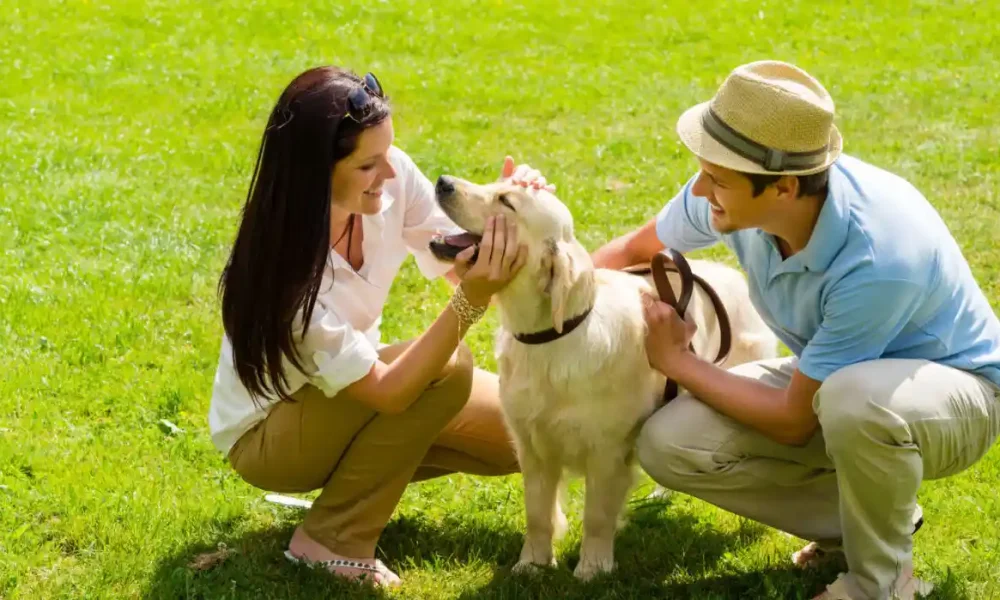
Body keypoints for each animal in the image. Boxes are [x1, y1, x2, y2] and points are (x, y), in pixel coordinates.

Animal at [426, 172, 776, 576]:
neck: (553, 337)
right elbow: (538, 514)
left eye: (506, 201)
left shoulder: (607, 451)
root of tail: (730, 273)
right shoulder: (531, 446)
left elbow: (596, 516)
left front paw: (592, 568)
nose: (443, 181)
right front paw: (532, 563)